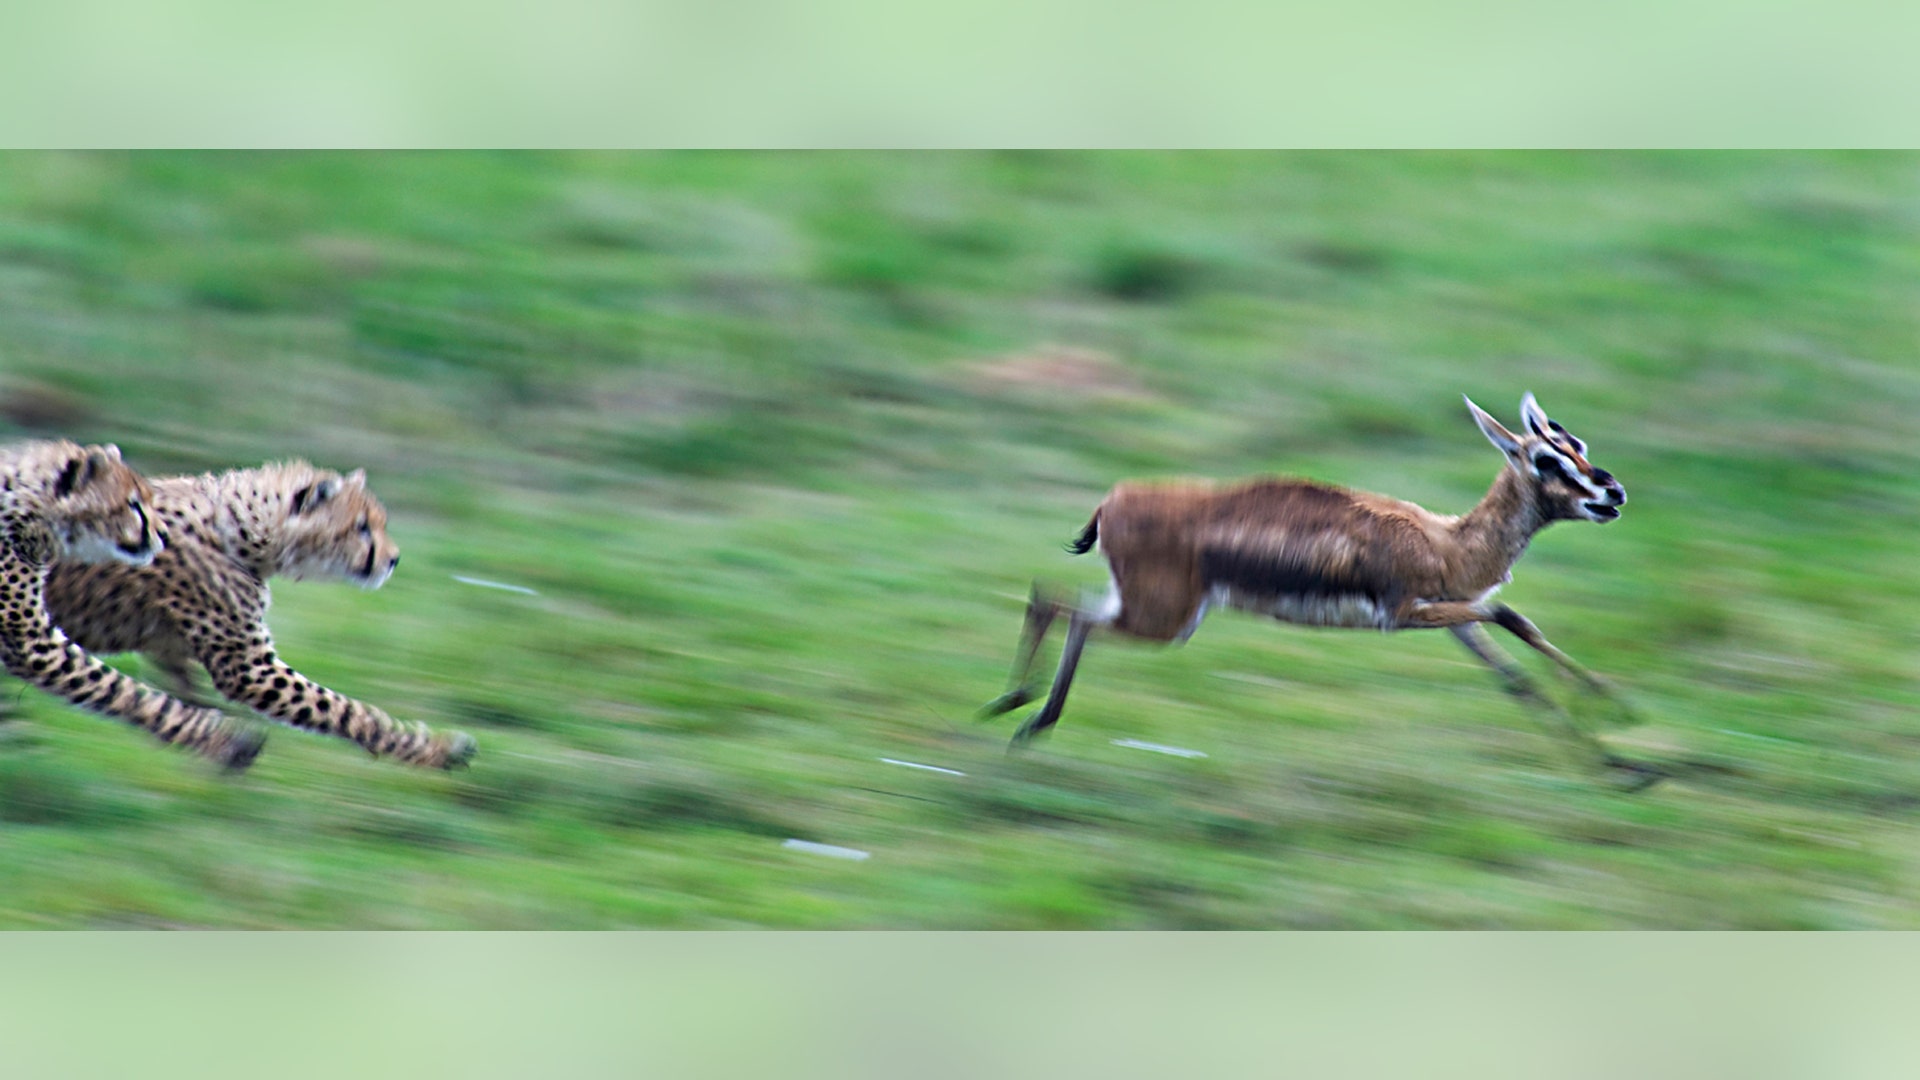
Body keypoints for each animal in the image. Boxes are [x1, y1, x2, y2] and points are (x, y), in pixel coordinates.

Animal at [44, 460, 476, 769]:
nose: (394, 559)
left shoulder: (171, 650)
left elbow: (178, 698)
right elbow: (345, 709)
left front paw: (217, 739)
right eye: (361, 528)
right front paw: (433, 748)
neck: (243, 529)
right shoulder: (249, 668)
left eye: (379, 524)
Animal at [983, 392, 1655, 783]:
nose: (1613, 493)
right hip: (1164, 620)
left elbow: (1515, 673)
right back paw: (1016, 710)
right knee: (1059, 603)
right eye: (1546, 459)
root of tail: (1111, 502)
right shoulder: (1405, 612)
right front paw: (1620, 720)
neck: (1449, 541)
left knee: (1059, 601)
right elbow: (1511, 615)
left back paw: (1024, 718)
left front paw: (1626, 759)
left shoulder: (1456, 617)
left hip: (1155, 611)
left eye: (1579, 446)